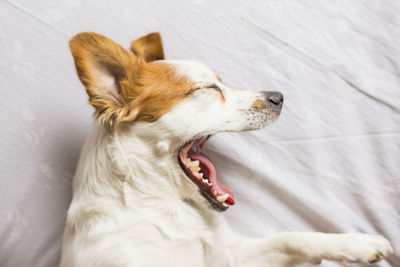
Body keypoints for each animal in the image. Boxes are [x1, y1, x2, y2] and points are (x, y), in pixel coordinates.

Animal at [60, 32, 394, 266]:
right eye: (208, 88)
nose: (279, 97)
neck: (165, 207)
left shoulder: (230, 255)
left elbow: (292, 238)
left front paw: (359, 244)